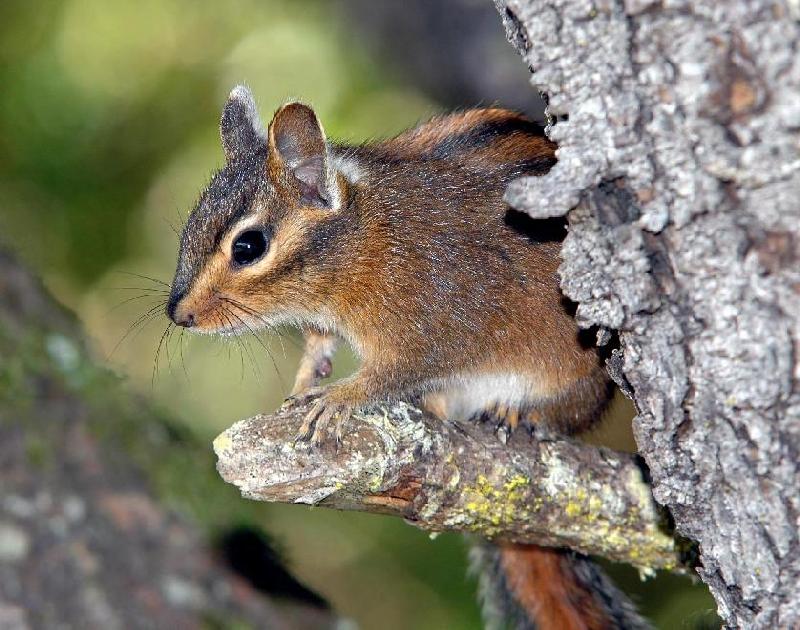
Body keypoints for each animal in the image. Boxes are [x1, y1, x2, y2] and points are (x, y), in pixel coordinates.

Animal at [166, 85, 650, 630]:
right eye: (190, 227)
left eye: (249, 246)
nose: (177, 314)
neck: (366, 232)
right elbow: (319, 345)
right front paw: (307, 377)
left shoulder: (426, 329)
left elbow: (393, 374)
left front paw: (340, 397)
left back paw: (517, 412)